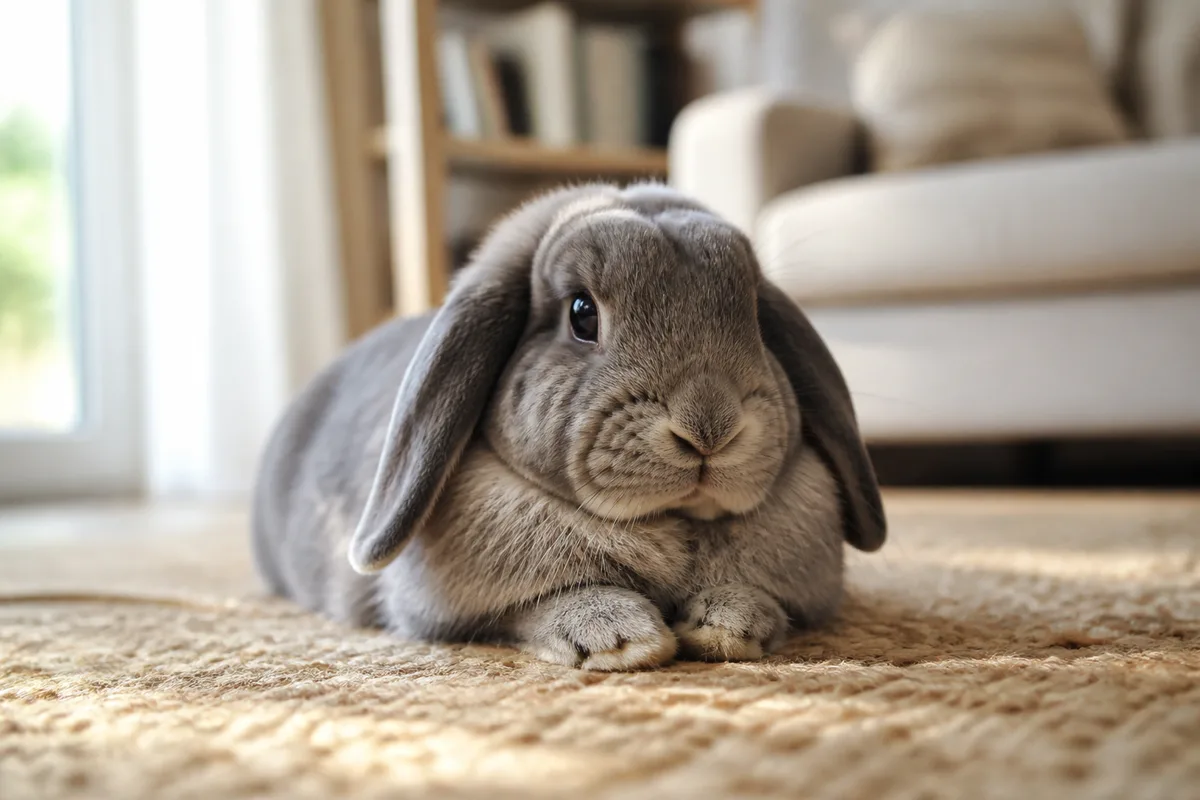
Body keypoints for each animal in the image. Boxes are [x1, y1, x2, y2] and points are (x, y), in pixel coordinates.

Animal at [251, 181, 886, 671]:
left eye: (755, 315)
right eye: (582, 314)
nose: (711, 429)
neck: (670, 526)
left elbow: (763, 602)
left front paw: (728, 625)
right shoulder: (461, 607)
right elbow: (536, 607)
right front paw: (621, 638)